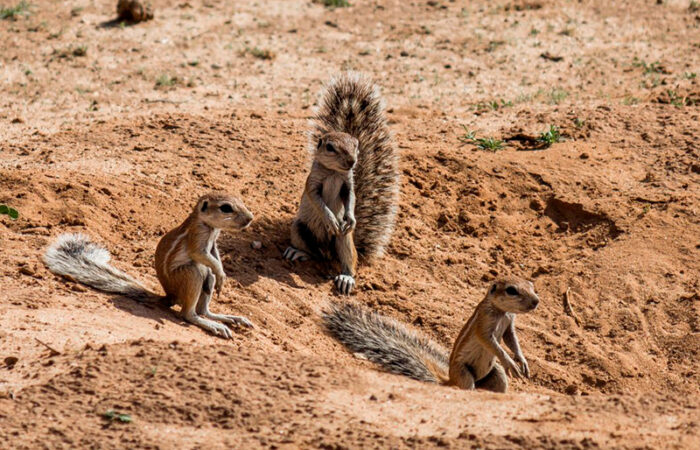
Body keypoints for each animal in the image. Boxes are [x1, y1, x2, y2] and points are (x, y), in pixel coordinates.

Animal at [43, 192, 254, 338]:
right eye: (226, 208)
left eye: (240, 200)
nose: (250, 218)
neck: (210, 227)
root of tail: (170, 295)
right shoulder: (197, 239)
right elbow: (202, 257)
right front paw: (221, 273)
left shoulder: (214, 244)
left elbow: (215, 258)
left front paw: (221, 275)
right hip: (189, 274)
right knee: (188, 313)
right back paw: (213, 325)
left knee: (204, 307)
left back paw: (229, 317)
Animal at [282, 71, 396, 296]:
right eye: (330, 147)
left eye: (356, 144)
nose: (352, 161)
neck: (335, 172)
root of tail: (329, 252)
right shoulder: (313, 182)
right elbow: (316, 199)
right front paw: (330, 219)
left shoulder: (348, 184)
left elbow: (351, 198)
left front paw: (349, 217)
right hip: (299, 229)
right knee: (314, 253)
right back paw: (298, 253)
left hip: (343, 240)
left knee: (348, 260)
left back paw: (346, 278)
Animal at [322, 276, 540, 392]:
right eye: (511, 290)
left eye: (531, 285)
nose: (536, 301)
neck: (502, 312)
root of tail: (448, 380)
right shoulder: (484, 323)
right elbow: (491, 342)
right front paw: (510, 362)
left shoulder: (509, 324)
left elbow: (511, 340)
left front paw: (522, 361)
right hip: (464, 373)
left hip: (494, 374)